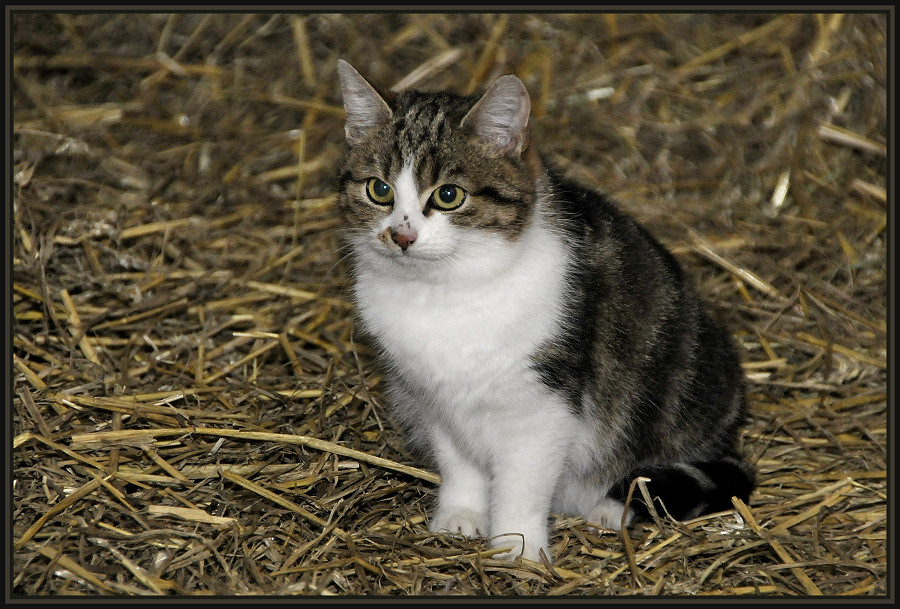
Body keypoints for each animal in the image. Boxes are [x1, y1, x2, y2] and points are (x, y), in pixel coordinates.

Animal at [330, 59, 752, 564]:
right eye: (379, 189)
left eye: (449, 195)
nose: (401, 236)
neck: (445, 292)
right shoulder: (434, 397)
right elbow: (459, 461)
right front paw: (462, 514)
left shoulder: (542, 405)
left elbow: (523, 483)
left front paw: (518, 548)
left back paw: (613, 506)